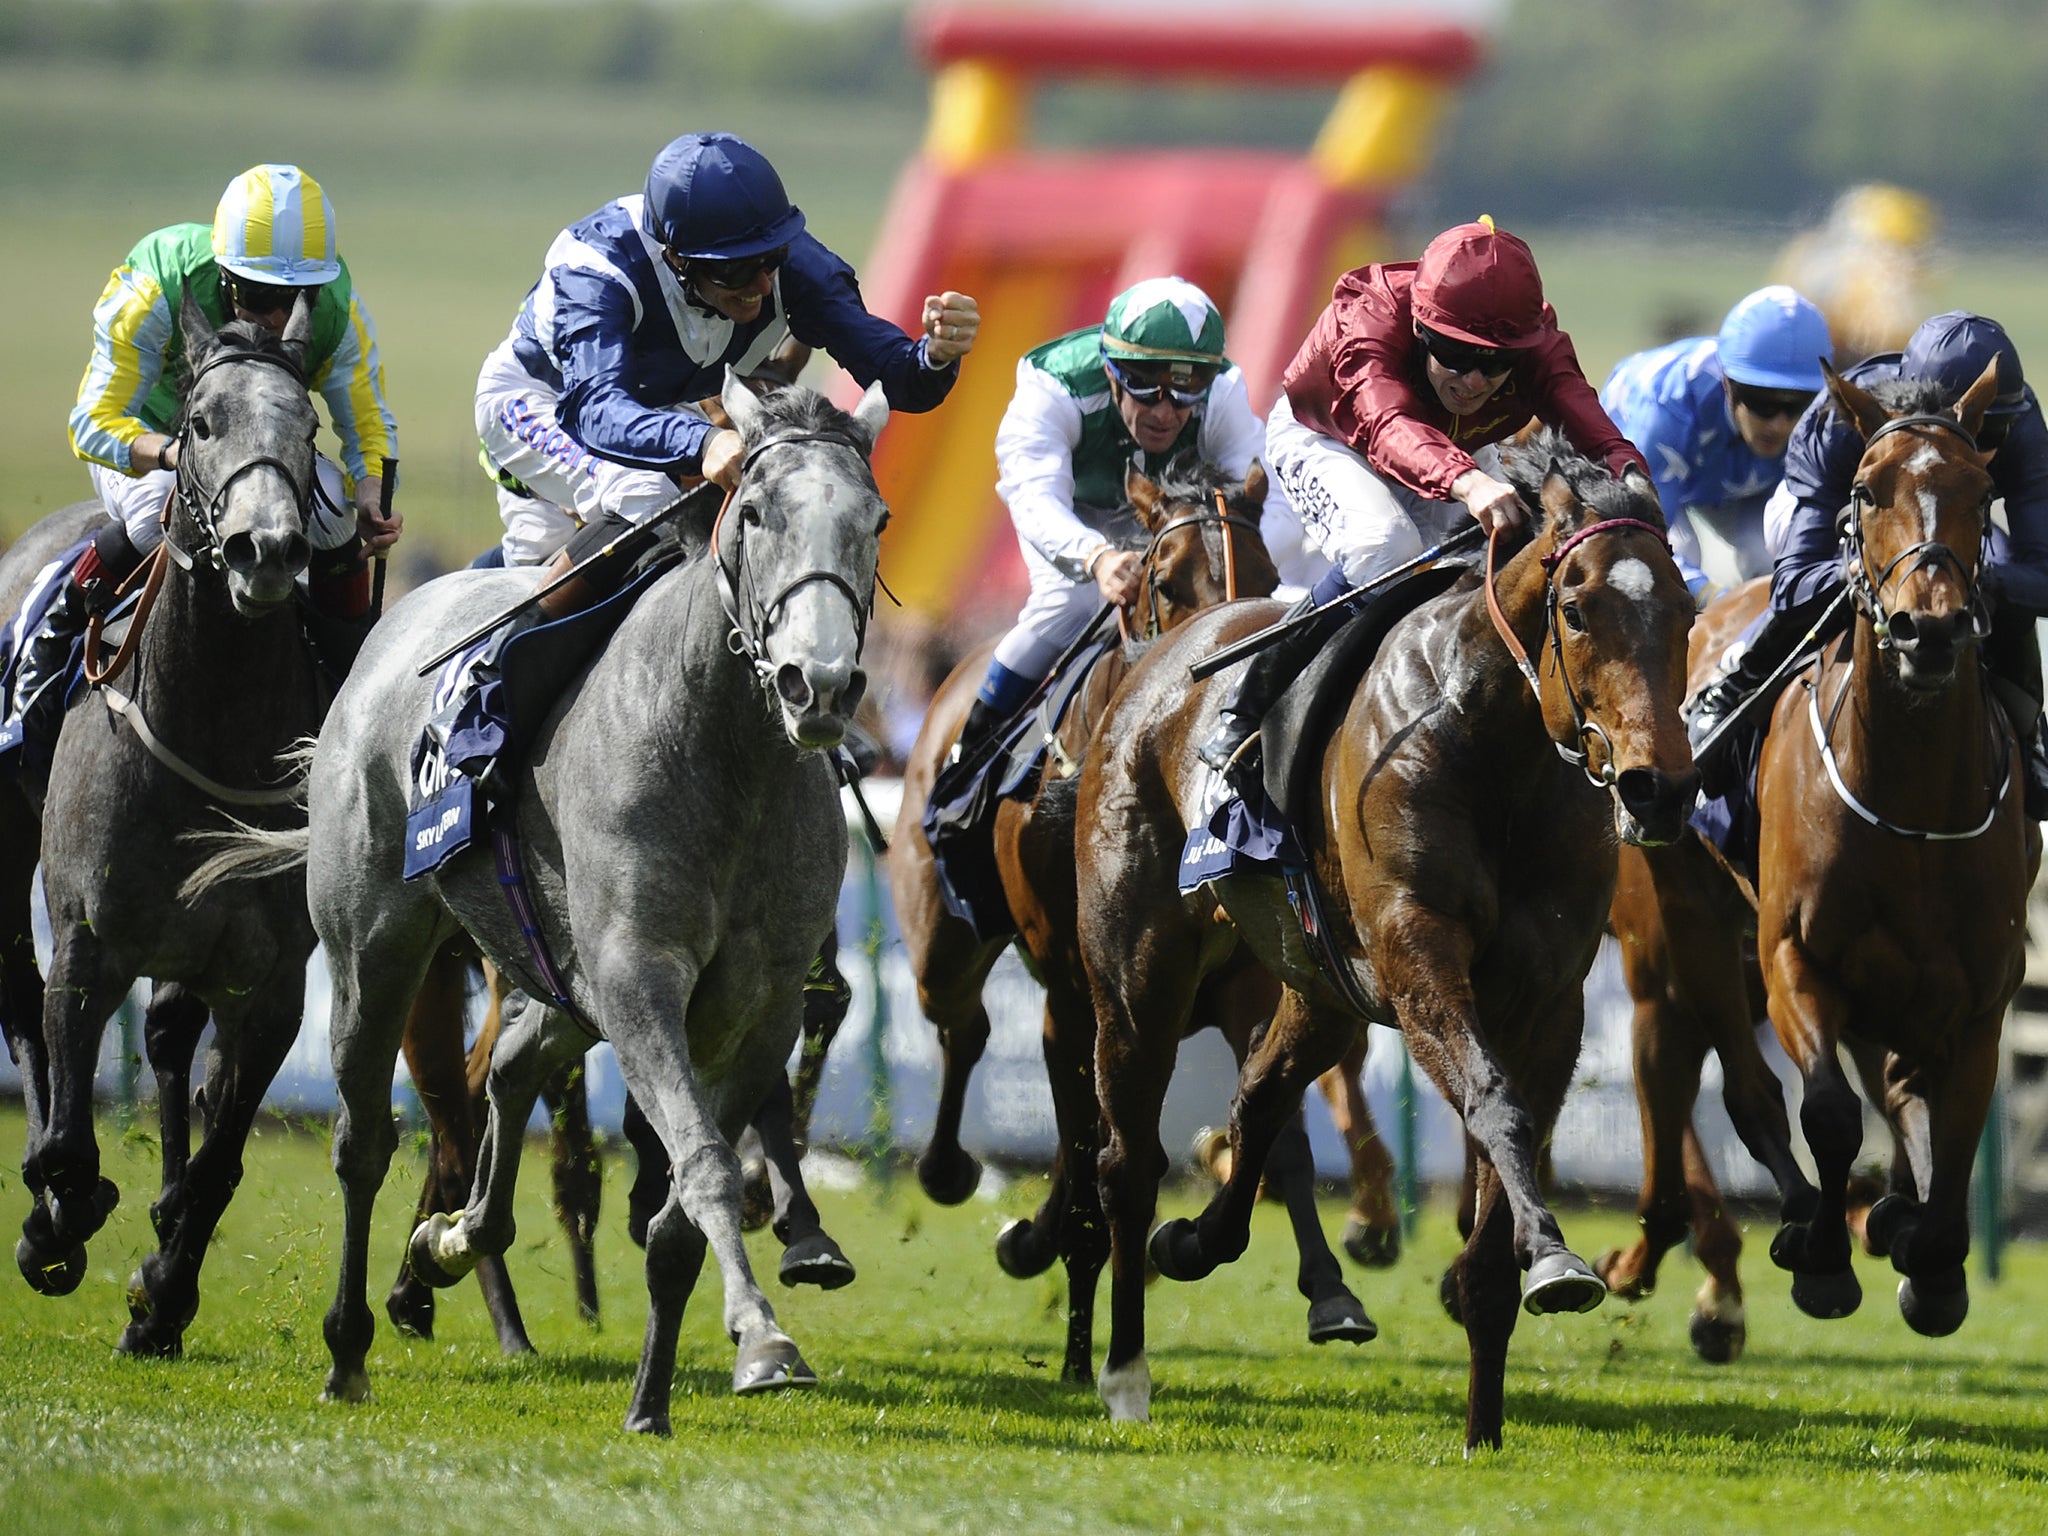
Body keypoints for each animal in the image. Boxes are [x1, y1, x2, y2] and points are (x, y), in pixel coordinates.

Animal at [1, 294, 327, 1351]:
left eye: (310, 430)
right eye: (203, 423)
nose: (269, 551)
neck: (207, 723)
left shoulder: (271, 977)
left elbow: (220, 1158)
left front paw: (161, 1287)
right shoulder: (89, 938)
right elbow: (69, 1143)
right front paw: (56, 1224)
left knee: (175, 1040)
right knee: (17, 990)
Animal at [207, 370, 888, 1433]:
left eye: (875, 519)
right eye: (758, 512)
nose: (816, 684)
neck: (721, 751)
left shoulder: (759, 1007)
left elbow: (681, 1205)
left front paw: (652, 1402)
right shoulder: (640, 977)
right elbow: (701, 1164)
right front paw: (762, 1338)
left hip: (557, 975)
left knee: (510, 1065)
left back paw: (451, 1238)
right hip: (377, 949)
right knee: (364, 1141)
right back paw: (350, 1344)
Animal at [1073, 436, 1695, 1458]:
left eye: (1684, 612)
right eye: (1576, 610)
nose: (1658, 789)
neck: (1493, 743)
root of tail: (1158, 659)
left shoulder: (1545, 1000)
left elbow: (1504, 1155)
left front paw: (1487, 1420)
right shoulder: (1417, 956)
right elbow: (1495, 1104)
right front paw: (1555, 1257)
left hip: (1317, 983)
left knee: (1259, 1096)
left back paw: (1197, 1241)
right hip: (1135, 975)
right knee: (1127, 1164)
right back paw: (1124, 1373)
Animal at [1605, 358, 2039, 1343]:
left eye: (1982, 489)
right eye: (1867, 491)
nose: (1930, 629)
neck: (1910, 806)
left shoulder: (1980, 991)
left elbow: (1952, 1126)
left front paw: (1929, 1257)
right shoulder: (1793, 956)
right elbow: (1830, 1112)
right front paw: (1824, 1260)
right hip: (1680, 928)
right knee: (1713, 1074)